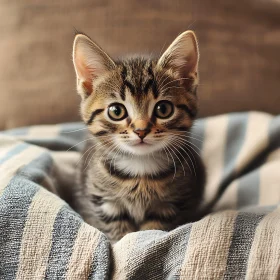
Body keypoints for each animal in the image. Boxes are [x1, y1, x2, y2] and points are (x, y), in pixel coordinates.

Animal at [71, 30, 206, 241]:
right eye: (116, 111)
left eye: (163, 109)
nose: (141, 130)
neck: (140, 169)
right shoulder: (105, 203)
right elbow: (119, 232)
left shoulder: (170, 205)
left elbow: (150, 232)